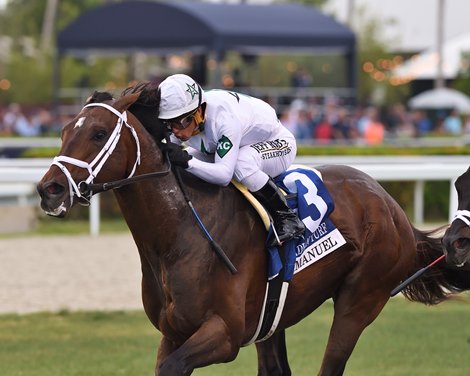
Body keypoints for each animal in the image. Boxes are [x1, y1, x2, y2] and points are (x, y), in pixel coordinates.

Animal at [37, 91, 470, 376]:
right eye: (63, 131)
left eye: (97, 133)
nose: (49, 190)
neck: (178, 234)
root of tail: (393, 208)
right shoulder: (173, 332)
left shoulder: (223, 335)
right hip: (274, 317)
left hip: (359, 301)